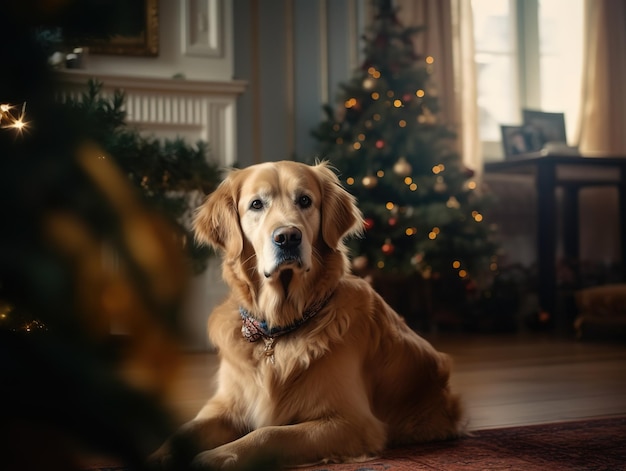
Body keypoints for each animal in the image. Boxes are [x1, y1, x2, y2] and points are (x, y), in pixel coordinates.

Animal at [149, 160, 464, 470]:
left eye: (304, 200)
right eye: (256, 204)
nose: (287, 237)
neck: (277, 329)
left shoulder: (352, 422)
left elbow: (268, 434)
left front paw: (213, 457)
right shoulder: (227, 405)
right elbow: (185, 431)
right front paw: (159, 456)